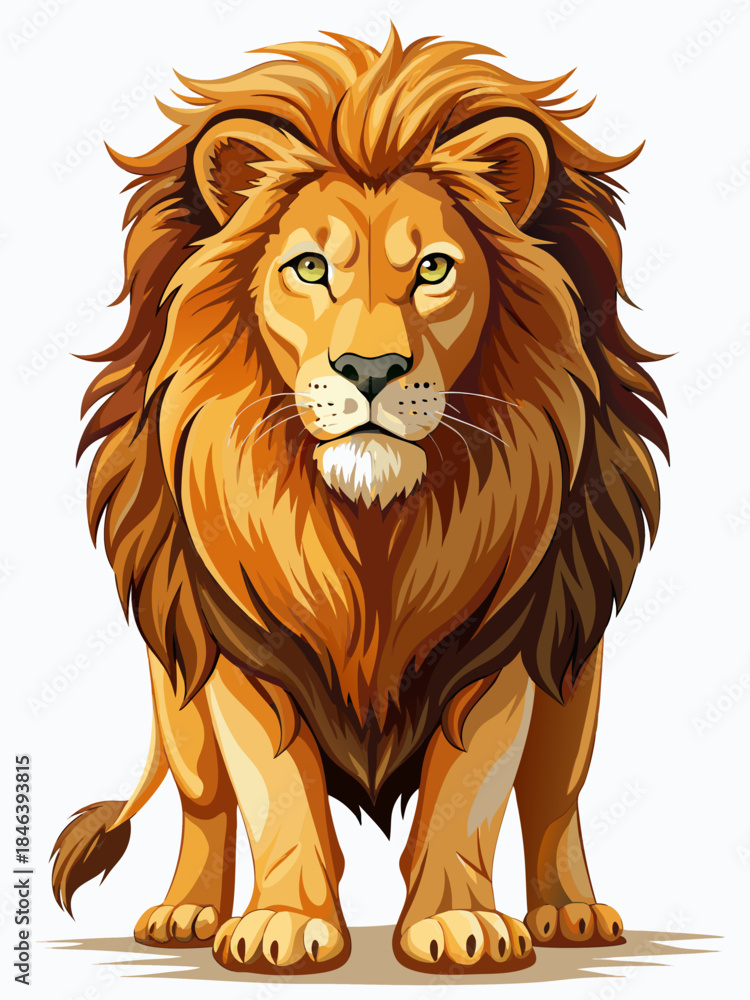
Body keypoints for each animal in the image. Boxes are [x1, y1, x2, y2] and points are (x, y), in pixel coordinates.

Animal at [51, 27, 667, 976]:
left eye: (435, 269)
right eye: (310, 268)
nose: (370, 370)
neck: (371, 530)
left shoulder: (505, 643)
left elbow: (472, 790)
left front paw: (458, 924)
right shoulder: (239, 647)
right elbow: (274, 790)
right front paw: (281, 923)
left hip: (573, 667)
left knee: (554, 797)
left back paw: (571, 913)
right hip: (176, 682)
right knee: (202, 800)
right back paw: (184, 913)